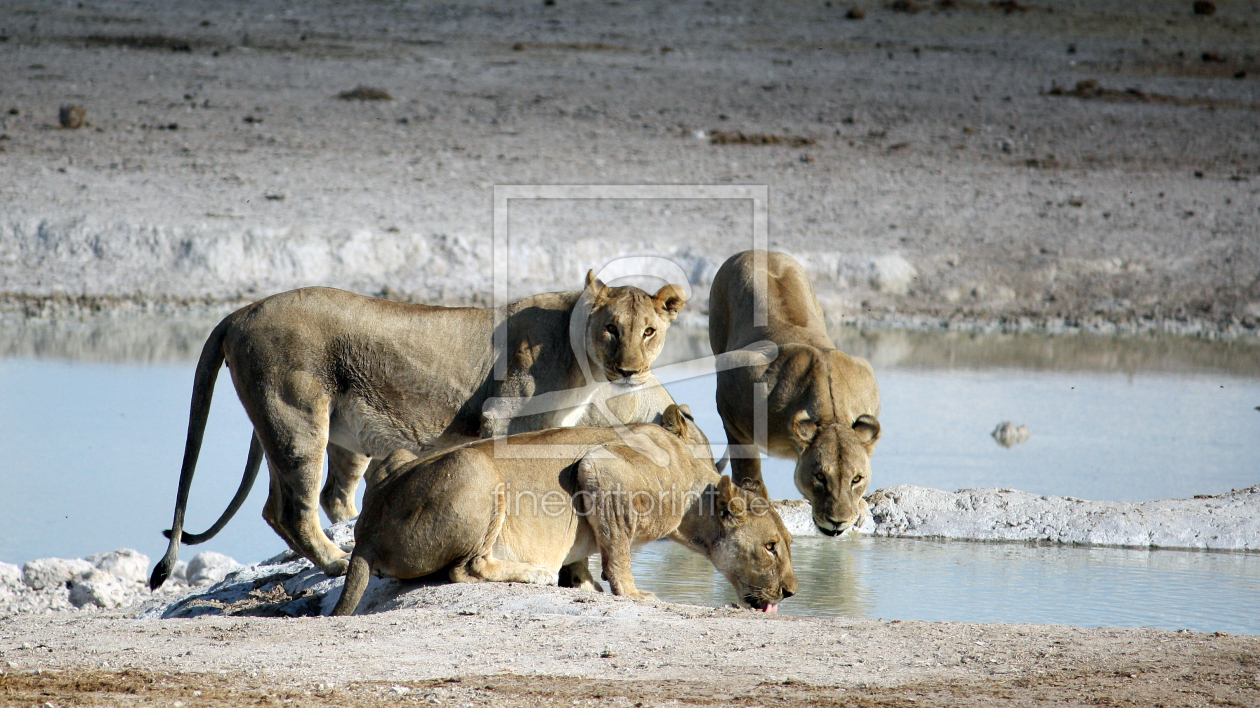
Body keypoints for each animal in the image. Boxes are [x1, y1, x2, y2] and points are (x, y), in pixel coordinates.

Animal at [149, 273, 690, 587]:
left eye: (649, 331)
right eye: (611, 329)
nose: (629, 370)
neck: (582, 362)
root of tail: (241, 311)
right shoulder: (501, 418)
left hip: (301, 430)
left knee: (286, 504)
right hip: (297, 419)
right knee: (292, 511)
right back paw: (338, 562)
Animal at [330, 405, 791, 614]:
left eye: (785, 542)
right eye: (770, 547)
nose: (791, 591)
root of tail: (366, 532)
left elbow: (587, 555)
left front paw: (583, 583)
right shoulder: (602, 469)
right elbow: (618, 553)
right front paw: (632, 592)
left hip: (396, 459)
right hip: (477, 468)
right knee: (466, 568)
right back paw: (535, 573)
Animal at [710, 250, 876, 531]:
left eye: (856, 479)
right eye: (820, 476)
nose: (838, 522)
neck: (830, 414)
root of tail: (760, 251)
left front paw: (861, 508)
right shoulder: (732, 391)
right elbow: (747, 465)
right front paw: (755, 501)